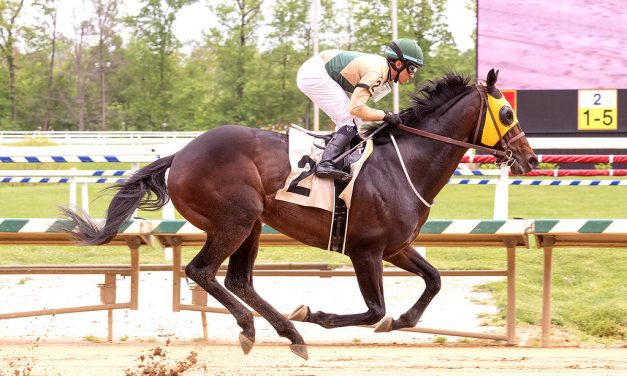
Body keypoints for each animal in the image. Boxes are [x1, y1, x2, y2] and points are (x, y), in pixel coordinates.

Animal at [62, 69, 536, 360]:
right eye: (508, 111)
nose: (531, 159)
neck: (405, 164)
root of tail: (180, 155)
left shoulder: (395, 248)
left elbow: (432, 281)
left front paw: (403, 321)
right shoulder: (365, 250)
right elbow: (373, 310)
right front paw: (316, 315)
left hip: (252, 223)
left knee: (238, 279)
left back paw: (286, 334)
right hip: (236, 219)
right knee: (201, 271)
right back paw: (256, 328)